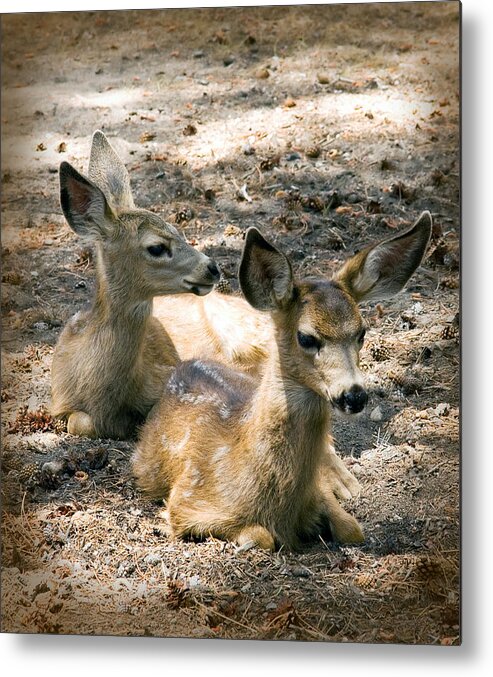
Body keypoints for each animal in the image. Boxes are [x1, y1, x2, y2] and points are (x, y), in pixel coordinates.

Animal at [134, 218, 430, 548]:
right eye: (306, 337)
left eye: (362, 332)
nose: (354, 395)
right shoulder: (187, 501)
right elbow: (261, 537)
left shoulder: (319, 496)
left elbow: (353, 529)